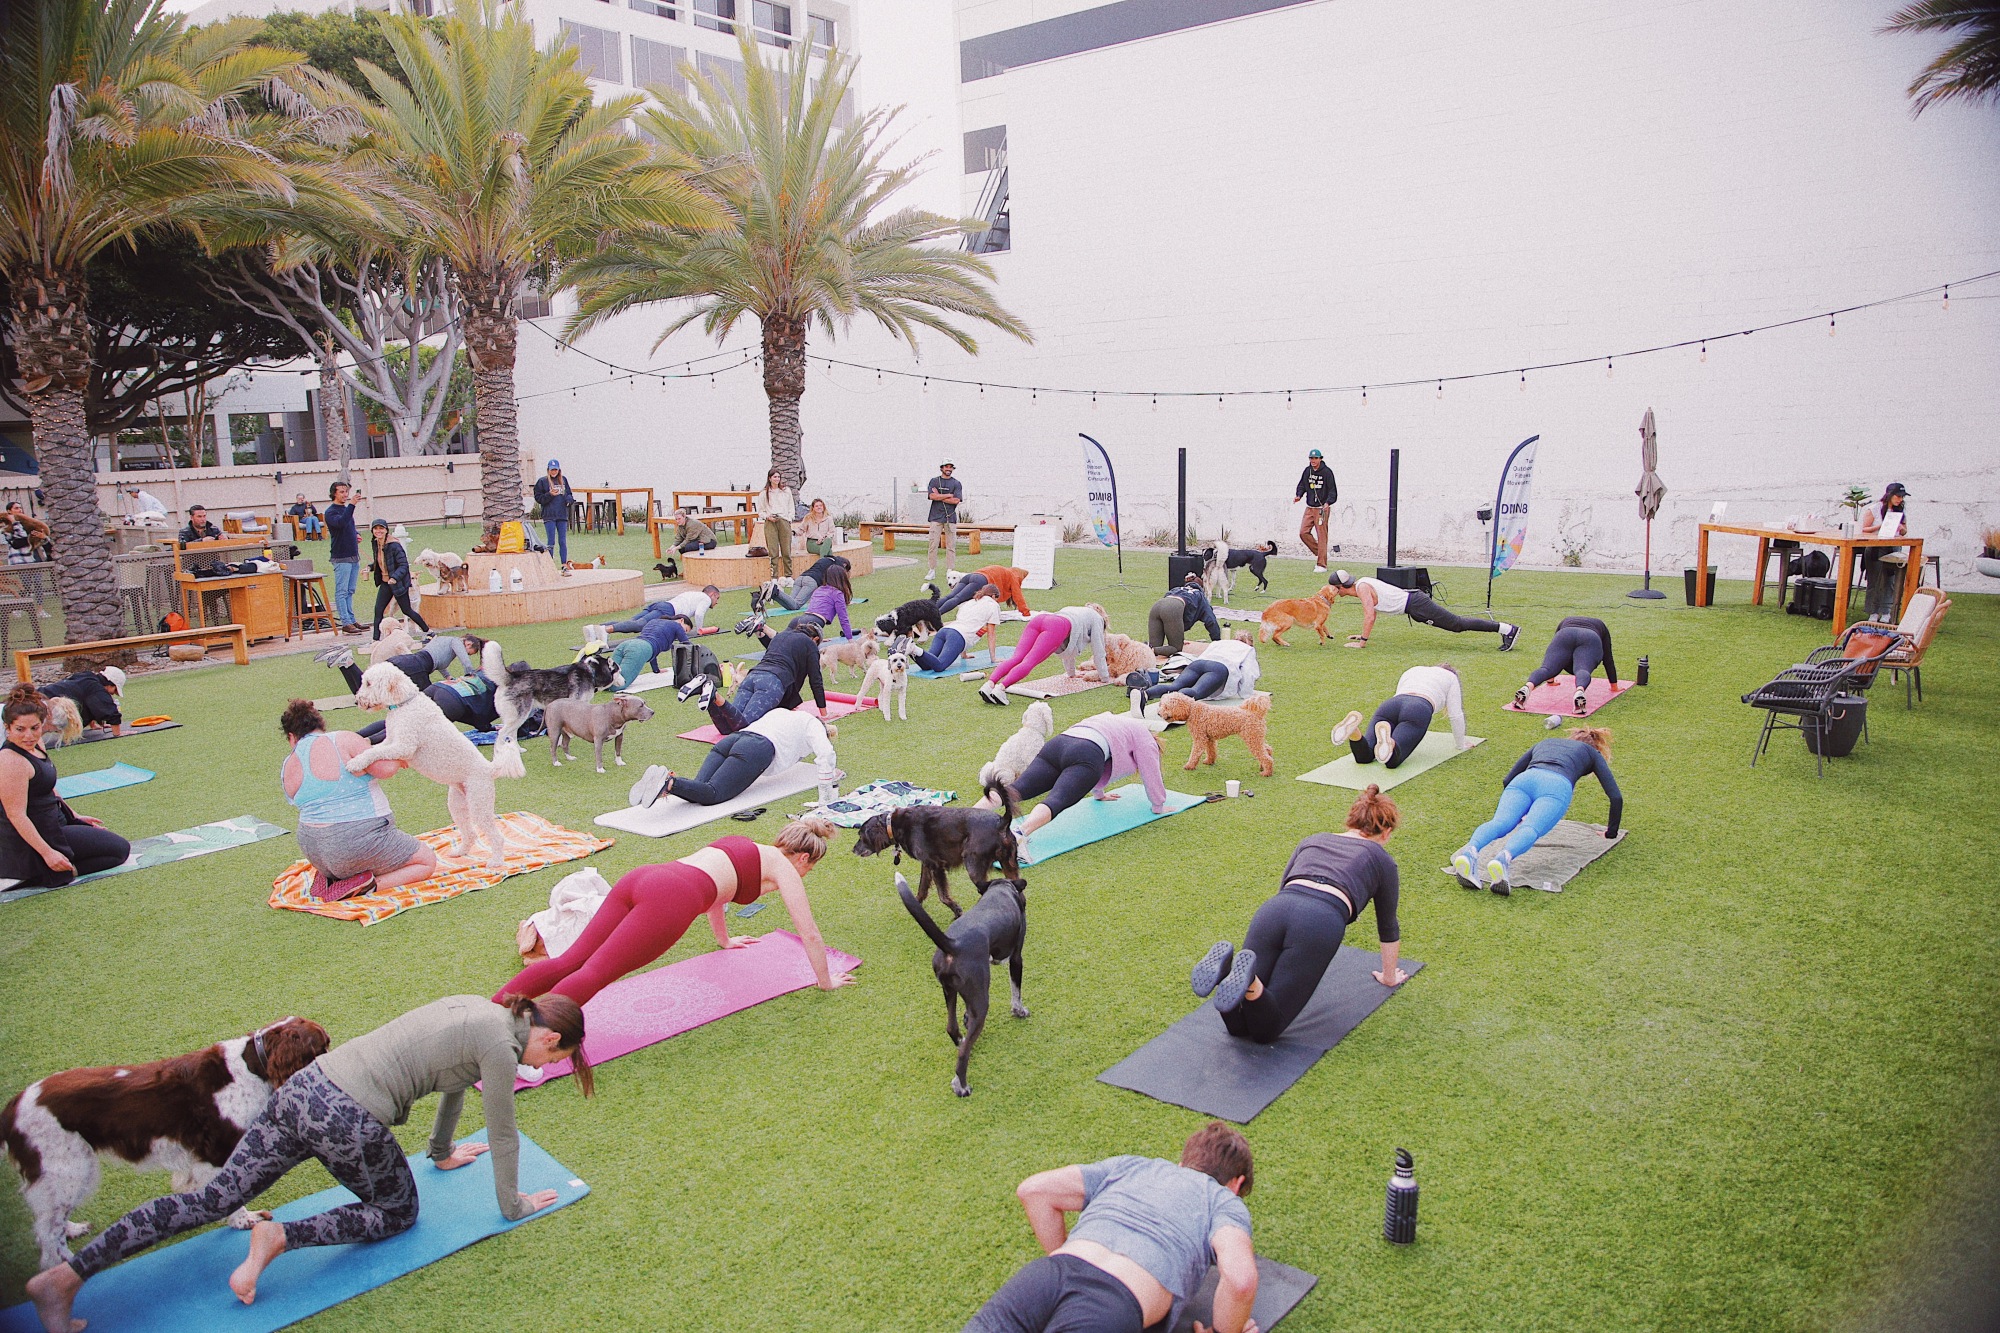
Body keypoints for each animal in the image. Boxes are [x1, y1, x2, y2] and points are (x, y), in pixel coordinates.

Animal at [1, 1012, 328, 1264]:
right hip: (67, 1167)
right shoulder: (216, 1152)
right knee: (47, 1232)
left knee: (50, 1218)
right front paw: (244, 1221)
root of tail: (12, 1108)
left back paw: (72, 1229)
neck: (253, 1066)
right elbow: (229, 1196)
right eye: (323, 1045)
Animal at [350, 660, 512, 868]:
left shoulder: (403, 746)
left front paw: (355, 762)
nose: (357, 701)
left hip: (479, 803)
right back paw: (460, 852)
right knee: (470, 833)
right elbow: (374, 748)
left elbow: (374, 751)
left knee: (496, 836)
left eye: (369, 683)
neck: (405, 704)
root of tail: (489, 768)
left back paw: (496, 861)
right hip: (458, 804)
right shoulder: (391, 741)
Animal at [852, 780, 1024, 912]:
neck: (894, 823)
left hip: (974, 867)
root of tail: (1002, 822)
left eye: (861, 836)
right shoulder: (927, 864)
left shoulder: (936, 866)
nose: (853, 850)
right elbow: (922, 889)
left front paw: (956, 910)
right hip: (1008, 865)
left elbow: (942, 896)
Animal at [904, 868, 1032, 1096]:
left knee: (952, 1028)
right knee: (963, 1054)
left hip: (949, 990)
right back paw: (962, 1086)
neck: (1000, 890)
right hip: (981, 1003)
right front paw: (1019, 1011)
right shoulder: (1017, 957)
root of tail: (953, 945)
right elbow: (1015, 989)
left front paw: (965, 1018)